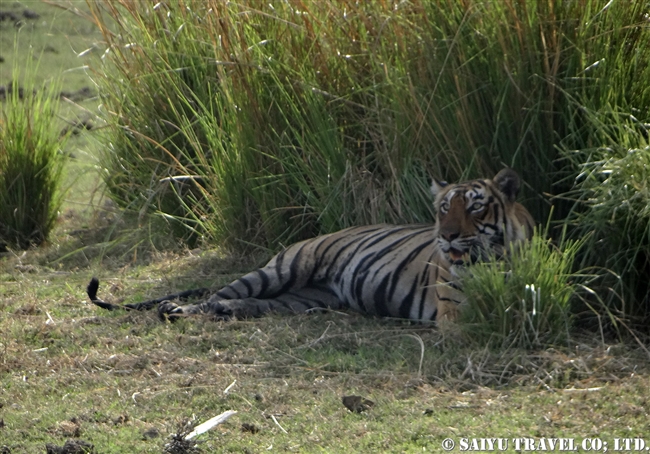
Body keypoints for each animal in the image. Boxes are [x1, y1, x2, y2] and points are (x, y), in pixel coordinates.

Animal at [86, 168, 532, 322]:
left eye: (474, 208)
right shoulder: (454, 311)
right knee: (214, 295)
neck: (495, 258)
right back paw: (176, 310)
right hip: (283, 268)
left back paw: (230, 312)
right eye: (443, 209)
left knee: (241, 303)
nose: (447, 235)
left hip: (305, 298)